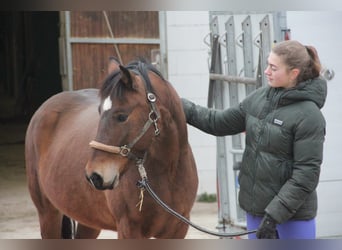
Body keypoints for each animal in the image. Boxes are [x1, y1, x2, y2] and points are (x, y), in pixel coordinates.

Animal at [25, 58, 198, 238]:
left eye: (122, 116)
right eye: (99, 112)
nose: (94, 176)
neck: (168, 173)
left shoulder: (178, 229)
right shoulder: (128, 228)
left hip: (89, 221)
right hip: (48, 213)